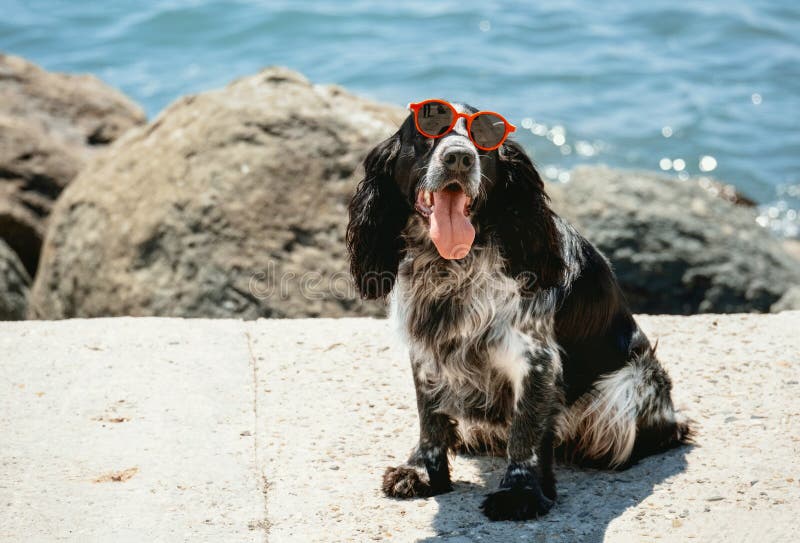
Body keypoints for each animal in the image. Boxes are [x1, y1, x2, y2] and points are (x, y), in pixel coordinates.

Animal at [346, 100, 692, 520]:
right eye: (428, 128)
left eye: (485, 138)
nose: (459, 157)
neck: (451, 266)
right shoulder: (425, 349)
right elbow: (429, 418)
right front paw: (423, 473)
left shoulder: (535, 358)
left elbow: (525, 431)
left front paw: (520, 492)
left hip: (626, 387)